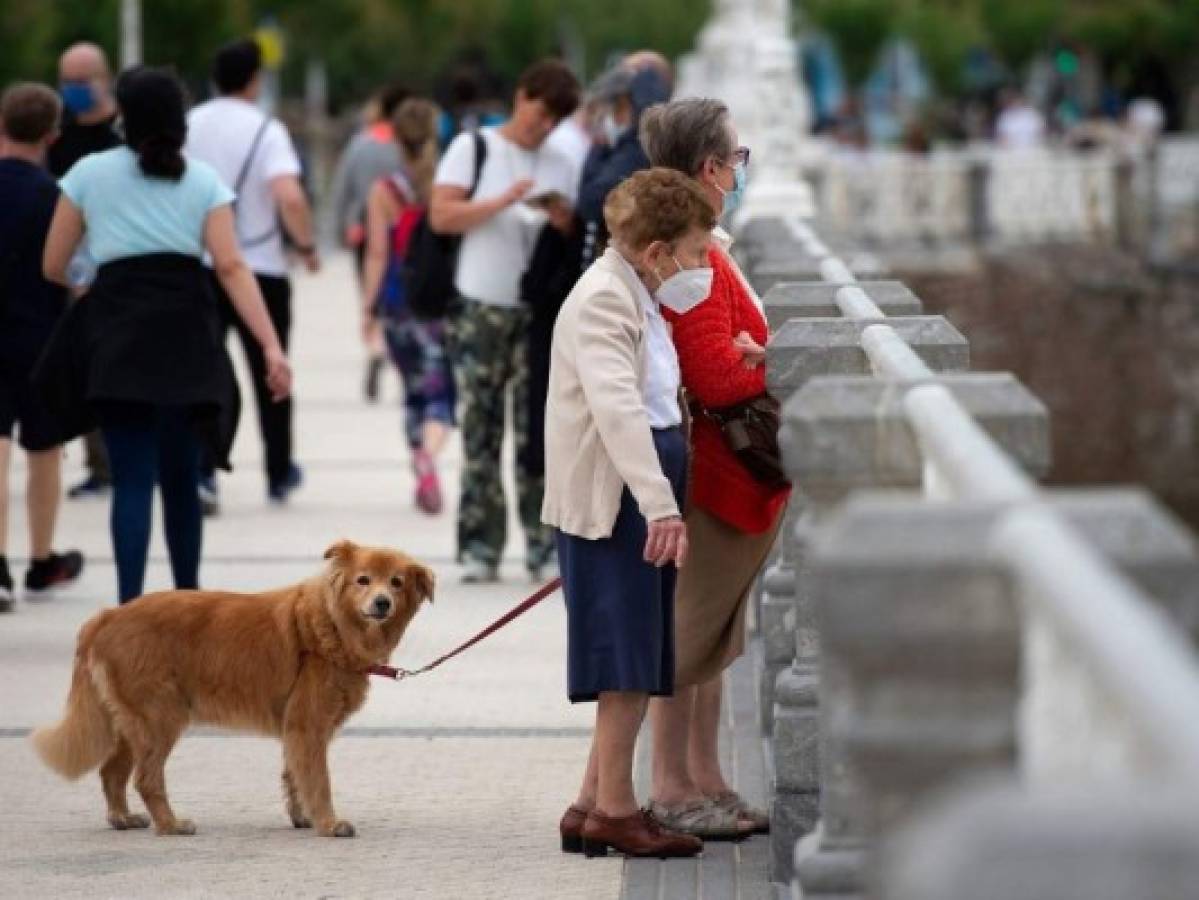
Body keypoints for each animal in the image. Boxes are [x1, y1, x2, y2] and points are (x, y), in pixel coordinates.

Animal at [30, 539, 436, 843]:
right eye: (363, 580)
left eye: (396, 582)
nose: (382, 602)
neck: (332, 627)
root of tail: (108, 616)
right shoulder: (308, 726)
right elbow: (318, 781)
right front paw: (328, 823)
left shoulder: (297, 730)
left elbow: (295, 776)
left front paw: (303, 817)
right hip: (161, 718)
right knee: (146, 779)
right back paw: (171, 825)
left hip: (132, 725)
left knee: (111, 773)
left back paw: (123, 818)